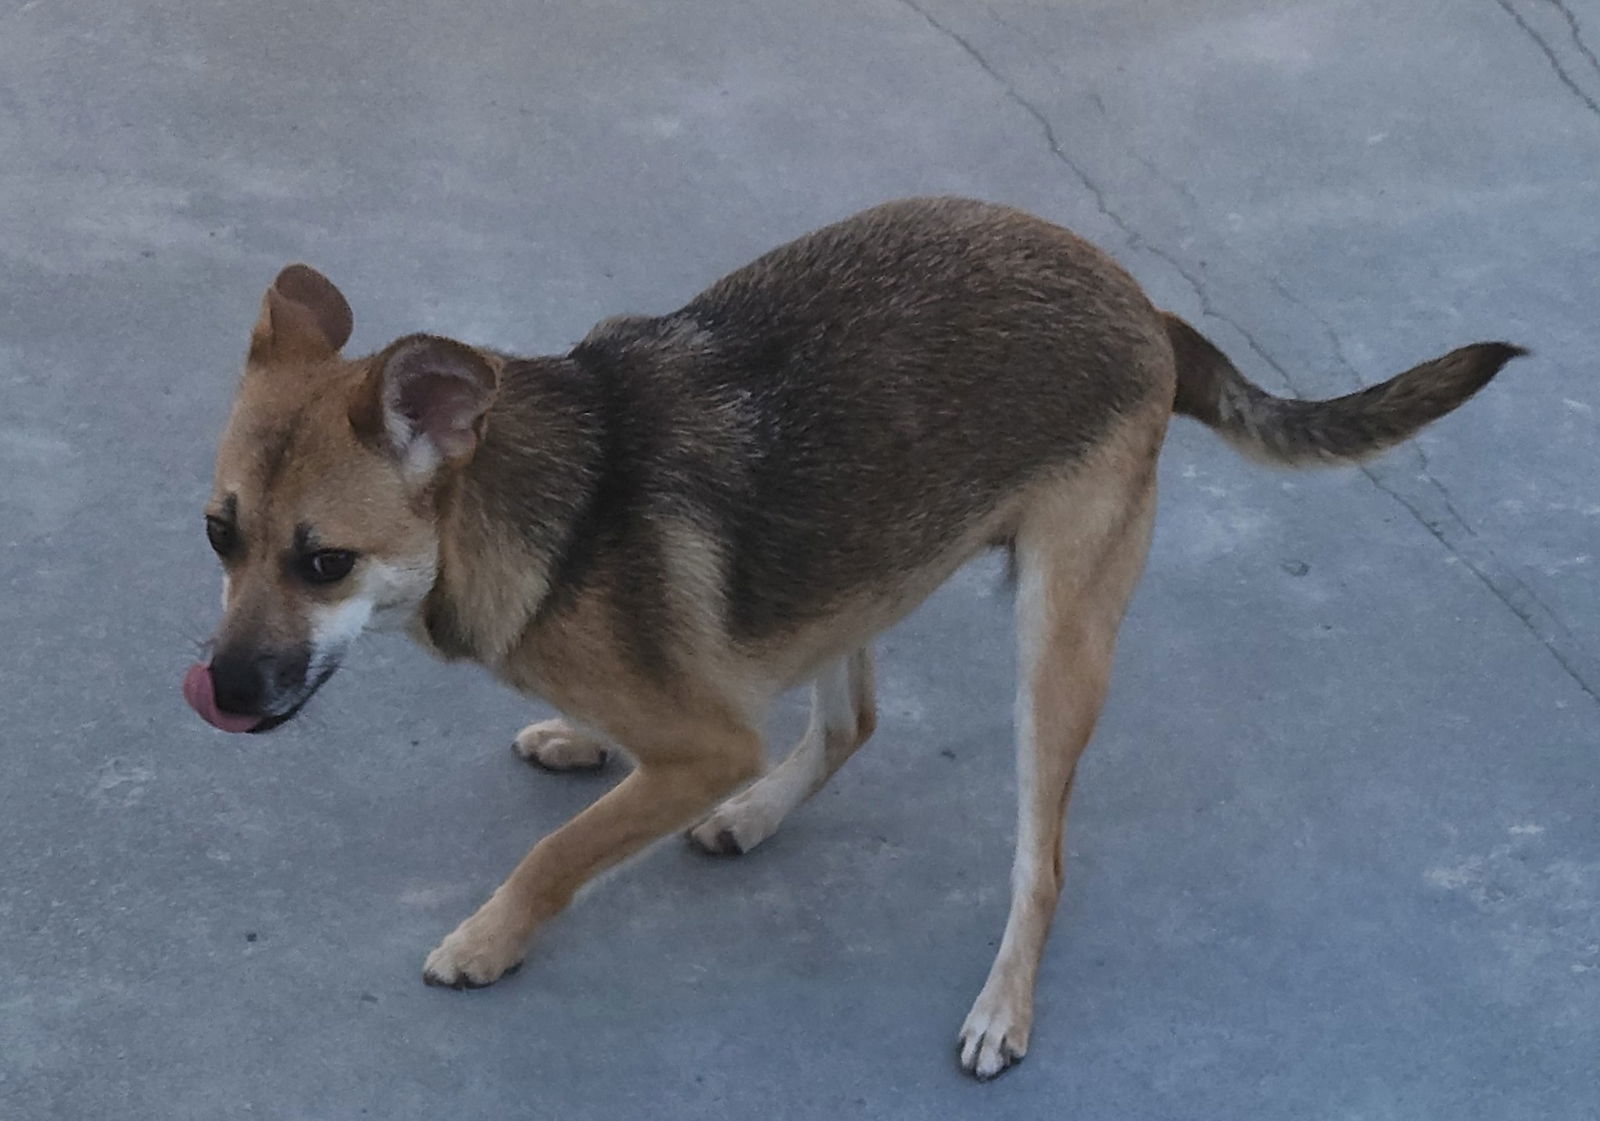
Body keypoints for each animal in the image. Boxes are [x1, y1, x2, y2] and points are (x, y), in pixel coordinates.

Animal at [181, 199, 1516, 1074]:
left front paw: (487, 936)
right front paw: (581, 739)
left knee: (1040, 859)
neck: (523, 504)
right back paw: (757, 813)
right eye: (217, 536)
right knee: (854, 720)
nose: (224, 693)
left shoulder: (705, 740)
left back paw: (1002, 1004)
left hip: (1055, 639)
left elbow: (561, 850)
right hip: (855, 572)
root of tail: (1152, 309)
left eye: (323, 563)